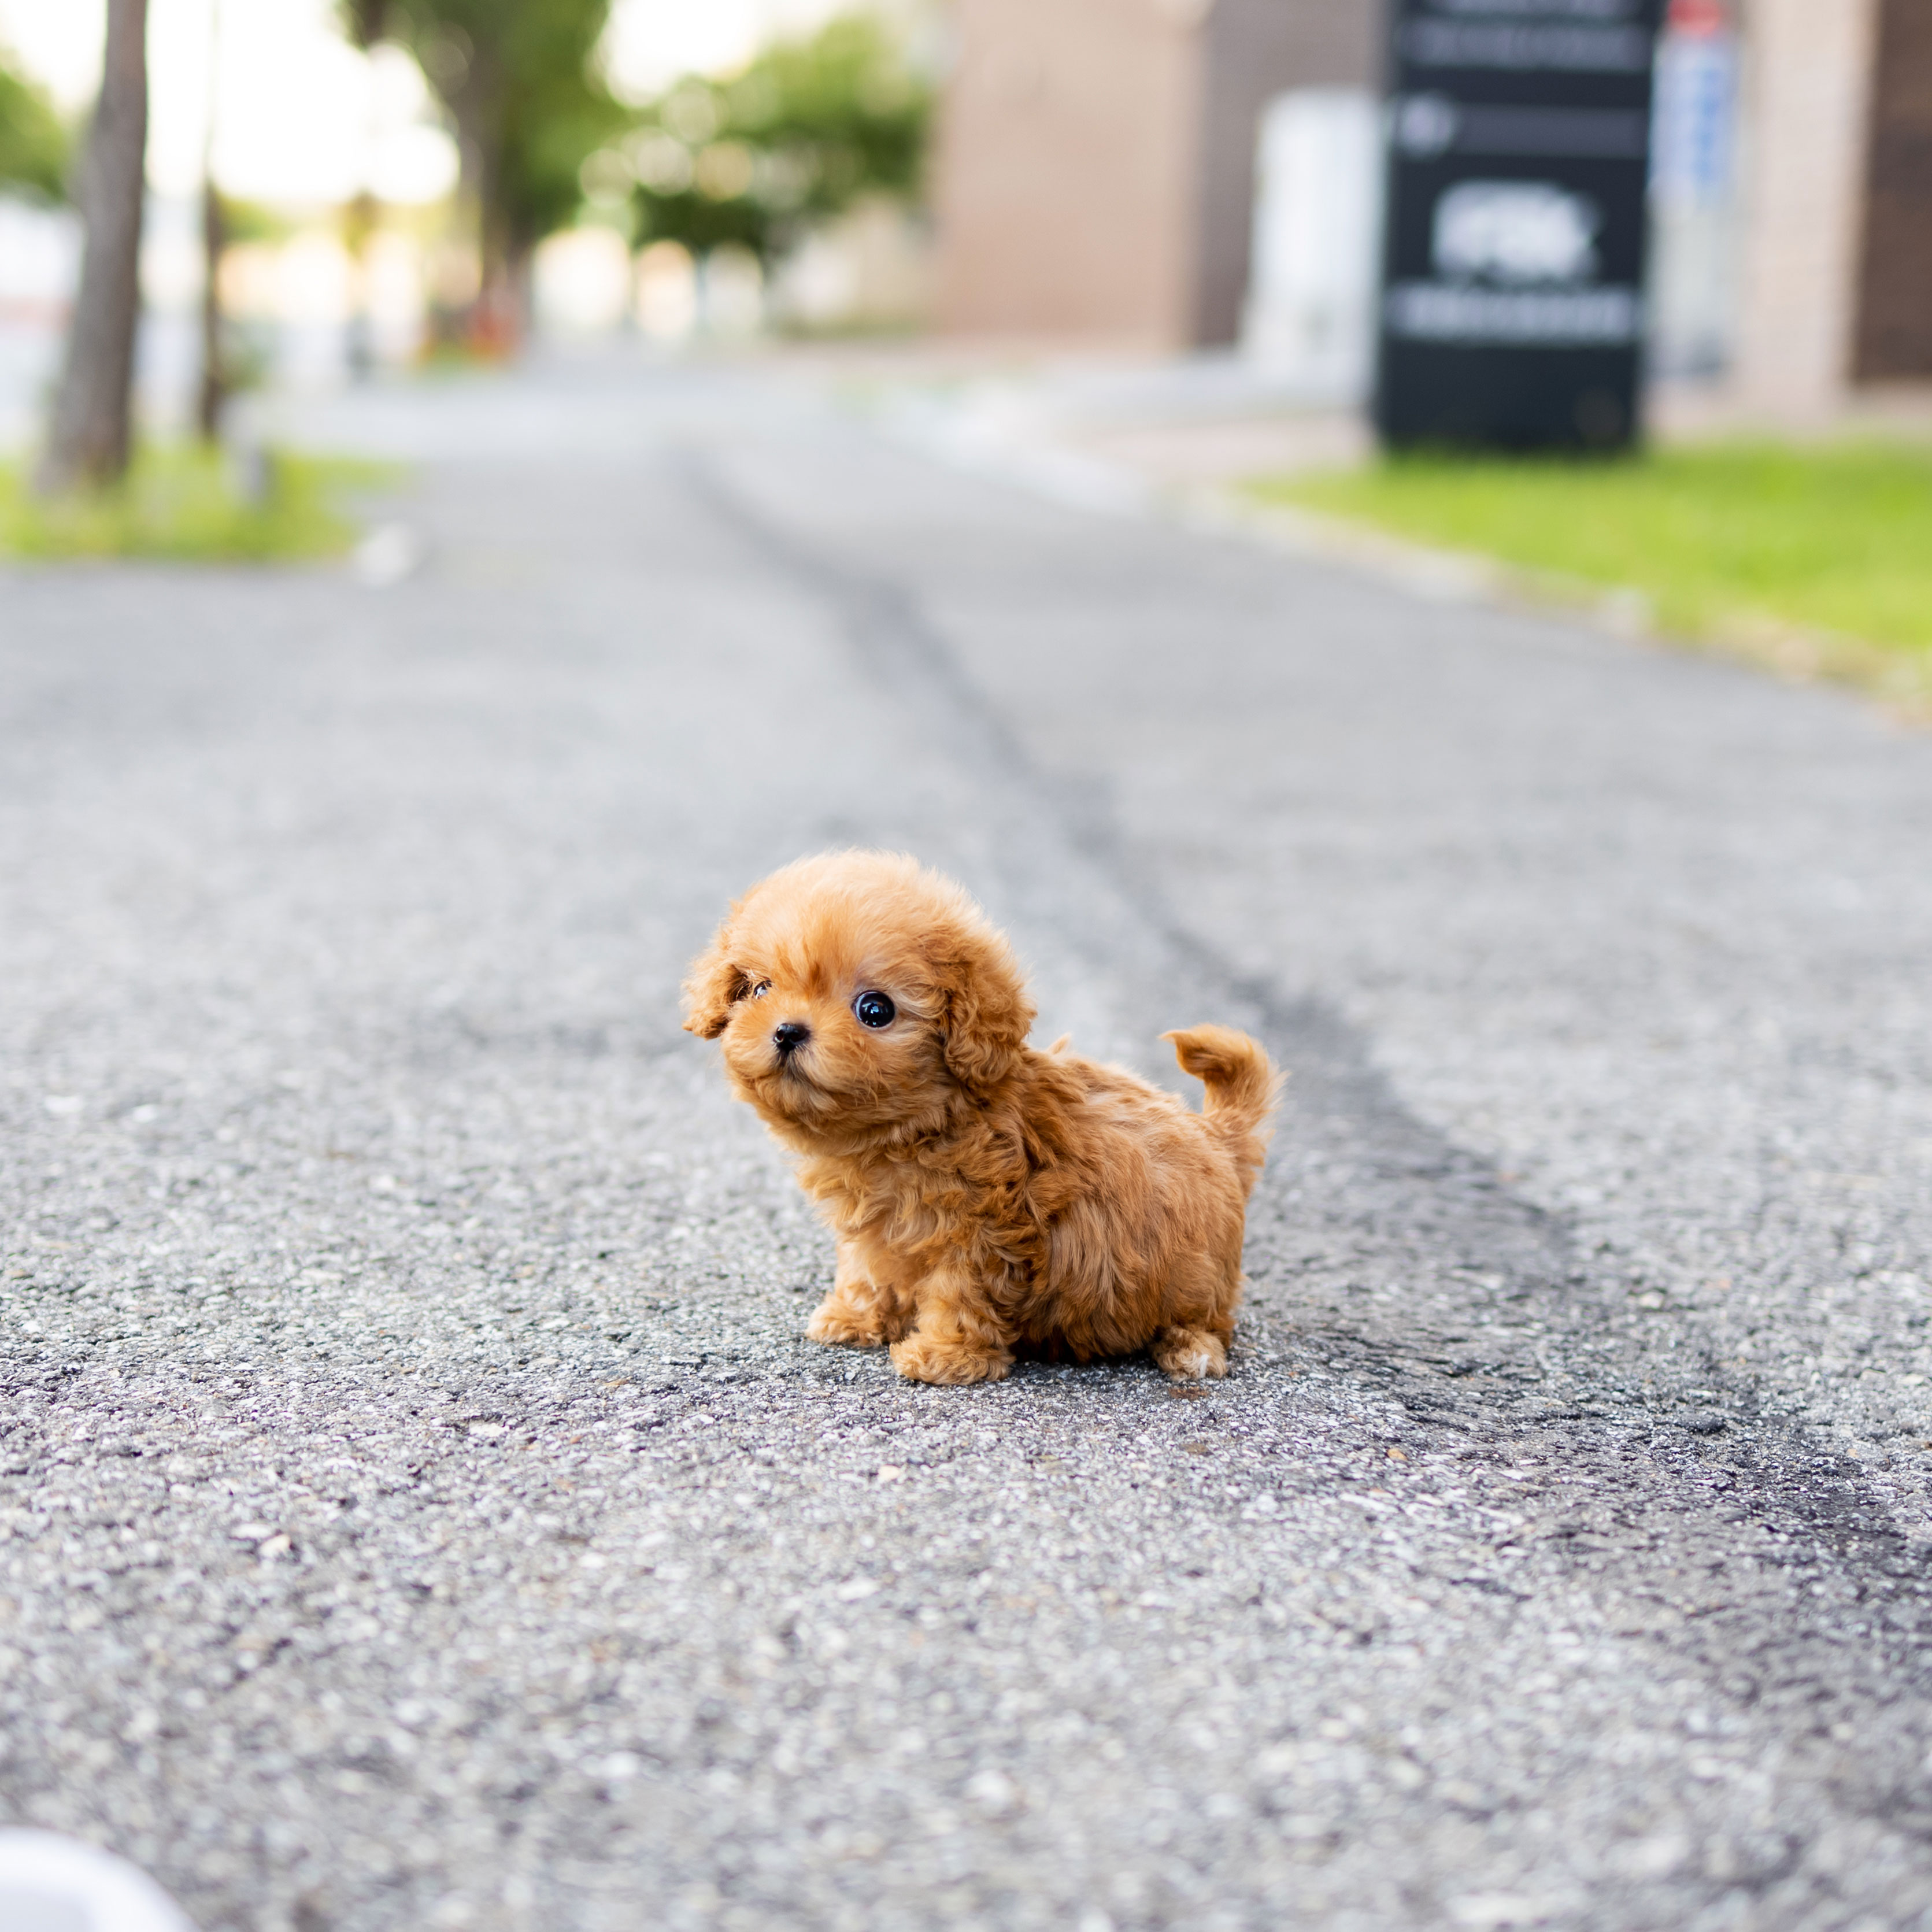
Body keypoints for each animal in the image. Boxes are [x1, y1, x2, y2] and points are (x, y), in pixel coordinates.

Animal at [684, 854, 1283, 1383]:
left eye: (875, 1011)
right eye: (760, 988)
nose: (787, 1031)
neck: (913, 1129)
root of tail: (1218, 1136)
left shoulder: (983, 1231)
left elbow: (961, 1292)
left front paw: (944, 1359)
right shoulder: (877, 1228)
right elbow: (866, 1267)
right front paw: (855, 1317)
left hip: (1197, 1275)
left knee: (1210, 1322)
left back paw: (1190, 1351)